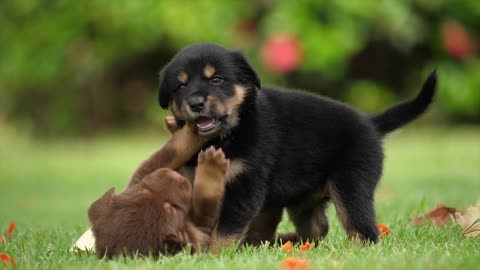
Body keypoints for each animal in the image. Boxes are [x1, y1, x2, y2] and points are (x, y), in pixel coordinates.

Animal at [88, 124, 231, 258]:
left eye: (144, 189)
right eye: (173, 209)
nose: (174, 175)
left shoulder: (139, 178)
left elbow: (165, 155)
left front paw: (194, 129)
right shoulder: (200, 232)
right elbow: (206, 201)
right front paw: (212, 163)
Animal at [158, 42, 438, 245]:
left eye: (216, 79)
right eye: (181, 86)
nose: (195, 103)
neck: (231, 132)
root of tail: (370, 122)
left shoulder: (246, 186)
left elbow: (225, 230)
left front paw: (214, 255)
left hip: (351, 184)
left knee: (363, 230)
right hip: (305, 201)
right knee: (319, 228)